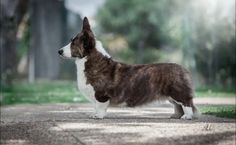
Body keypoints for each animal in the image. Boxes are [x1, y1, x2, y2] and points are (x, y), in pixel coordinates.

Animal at [58, 16, 200, 120]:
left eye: (73, 43)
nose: (59, 51)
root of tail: (183, 69)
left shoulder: (101, 95)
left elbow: (100, 107)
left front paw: (98, 116)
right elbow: (95, 107)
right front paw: (94, 114)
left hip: (177, 92)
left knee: (186, 103)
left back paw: (187, 117)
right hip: (171, 96)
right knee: (178, 106)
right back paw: (175, 116)